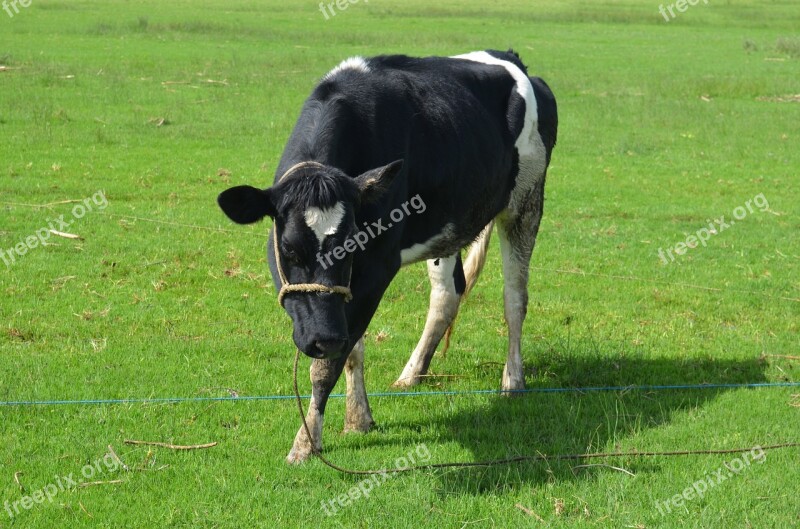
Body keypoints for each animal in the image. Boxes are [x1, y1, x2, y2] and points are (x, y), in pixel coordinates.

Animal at [216, 49, 560, 462]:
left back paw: (512, 380)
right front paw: (358, 418)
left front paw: (306, 441)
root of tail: (512, 58)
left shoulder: (377, 267)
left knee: (514, 298)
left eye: (352, 242)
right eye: (288, 249)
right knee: (447, 295)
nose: (323, 338)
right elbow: (352, 348)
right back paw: (412, 373)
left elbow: (328, 364)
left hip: (526, 201)